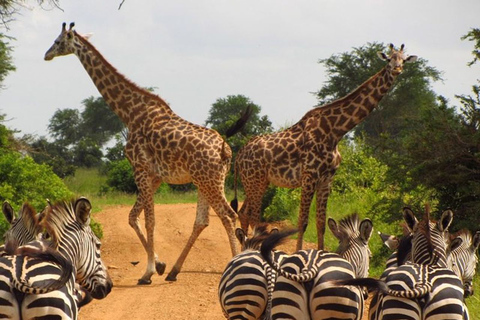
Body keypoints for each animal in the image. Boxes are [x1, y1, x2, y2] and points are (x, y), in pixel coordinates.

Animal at [44, 21, 251, 282]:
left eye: (58, 41)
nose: (46, 55)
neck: (130, 113)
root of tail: (225, 149)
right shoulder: (155, 175)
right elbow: (133, 216)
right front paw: (159, 265)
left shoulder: (140, 168)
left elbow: (150, 220)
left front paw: (148, 272)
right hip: (206, 180)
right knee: (202, 221)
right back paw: (173, 271)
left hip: (209, 180)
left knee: (228, 215)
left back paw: (233, 263)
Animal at [232, 43, 416, 251]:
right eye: (389, 59)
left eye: (403, 59)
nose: (397, 69)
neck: (335, 131)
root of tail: (239, 156)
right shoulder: (309, 176)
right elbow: (303, 221)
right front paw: (299, 252)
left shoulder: (327, 179)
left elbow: (321, 222)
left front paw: (321, 253)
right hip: (255, 180)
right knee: (253, 216)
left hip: (256, 181)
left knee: (244, 212)